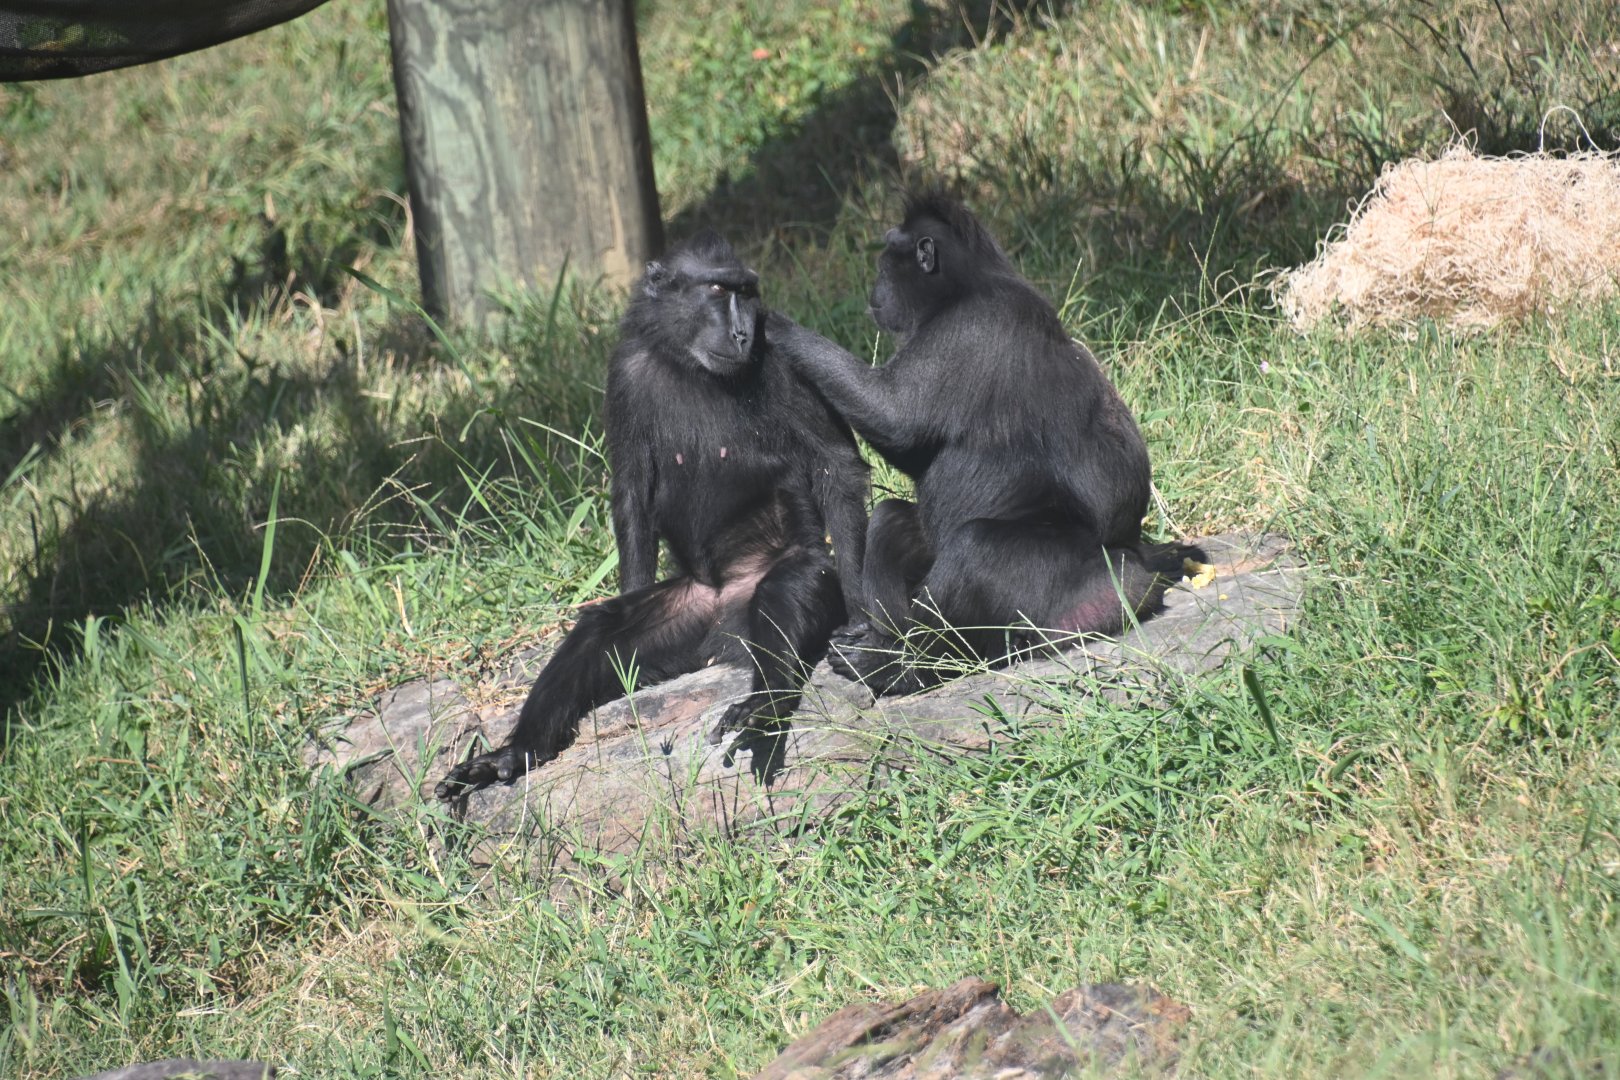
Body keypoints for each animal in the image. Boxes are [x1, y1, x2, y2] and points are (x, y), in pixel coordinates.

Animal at [436, 232, 868, 798]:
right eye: (718, 290)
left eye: (747, 293)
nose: (742, 333)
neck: (691, 368)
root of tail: (724, 621)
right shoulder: (624, 371)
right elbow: (632, 490)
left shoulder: (782, 359)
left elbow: (836, 462)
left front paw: (861, 615)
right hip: (689, 610)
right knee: (599, 630)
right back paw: (514, 754)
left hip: (769, 581)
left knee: (784, 591)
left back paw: (762, 701)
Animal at [768, 193, 1202, 696]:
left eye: (882, 265)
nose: (872, 293)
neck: (966, 284)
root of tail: (1133, 559)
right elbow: (912, 448)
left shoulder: (968, 327)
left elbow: (894, 414)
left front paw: (772, 326)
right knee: (891, 520)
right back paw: (887, 644)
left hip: (1072, 585)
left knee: (977, 548)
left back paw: (908, 668)